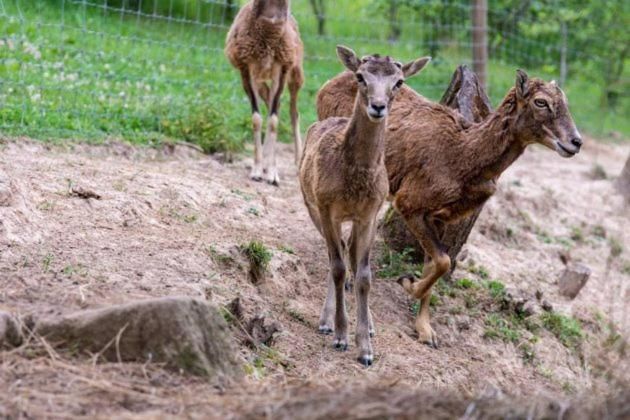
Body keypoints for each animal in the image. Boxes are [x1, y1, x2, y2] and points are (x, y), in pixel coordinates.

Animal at [226, 0, 304, 185]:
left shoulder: (281, 70)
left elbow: (273, 121)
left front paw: (272, 175)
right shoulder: (248, 71)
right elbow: (257, 119)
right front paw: (257, 172)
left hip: (295, 76)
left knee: (293, 112)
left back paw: (298, 162)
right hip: (262, 83)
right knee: (272, 105)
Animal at [300, 46, 430, 366]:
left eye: (399, 82)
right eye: (360, 76)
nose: (378, 106)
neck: (354, 183)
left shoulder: (370, 214)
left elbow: (364, 275)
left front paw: (366, 349)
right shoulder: (326, 207)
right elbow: (337, 268)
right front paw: (340, 335)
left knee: (349, 253)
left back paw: (368, 325)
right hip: (311, 205)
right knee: (336, 255)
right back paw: (326, 321)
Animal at [318, 69, 584, 346]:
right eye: (541, 102)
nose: (576, 142)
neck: (462, 155)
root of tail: (328, 85)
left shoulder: (439, 218)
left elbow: (435, 264)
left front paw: (426, 331)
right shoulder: (410, 204)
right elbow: (444, 261)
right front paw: (407, 282)